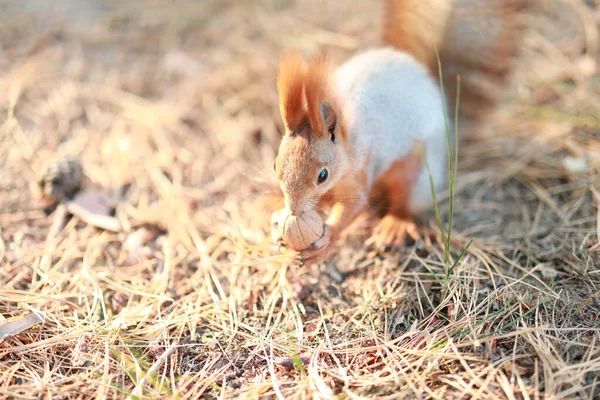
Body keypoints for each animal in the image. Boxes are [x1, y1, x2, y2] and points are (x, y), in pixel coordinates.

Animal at [270, 0, 528, 262]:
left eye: (322, 175)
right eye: (274, 165)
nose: (294, 209)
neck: (347, 135)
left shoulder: (362, 166)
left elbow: (356, 204)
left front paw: (327, 238)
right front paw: (280, 223)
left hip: (417, 175)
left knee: (405, 204)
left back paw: (394, 225)